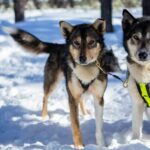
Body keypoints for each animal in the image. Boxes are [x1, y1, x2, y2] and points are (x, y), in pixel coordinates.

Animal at [3, 18, 119, 148]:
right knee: (45, 97)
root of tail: (57, 46)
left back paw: (85, 114)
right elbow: (76, 125)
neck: (86, 72)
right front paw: (79, 146)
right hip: (52, 83)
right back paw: (44, 117)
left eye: (91, 42)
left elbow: (99, 127)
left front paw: (101, 145)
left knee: (81, 100)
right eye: (76, 43)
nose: (82, 58)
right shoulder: (72, 99)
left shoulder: (99, 98)